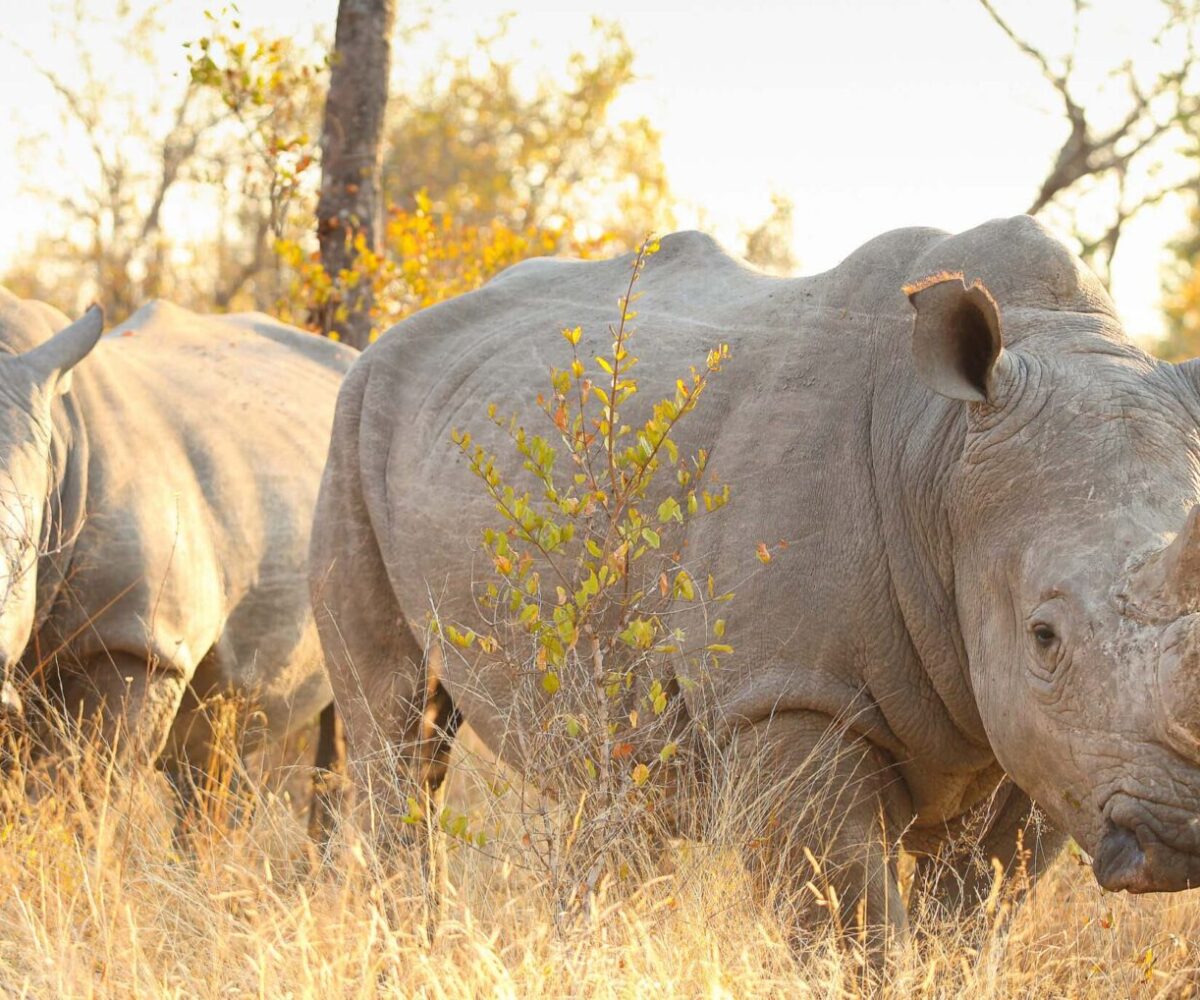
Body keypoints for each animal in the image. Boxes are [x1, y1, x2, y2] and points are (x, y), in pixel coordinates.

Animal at [310, 216, 1200, 936]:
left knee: (618, 782)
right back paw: (407, 937)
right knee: (394, 730)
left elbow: (971, 921)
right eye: (1044, 636)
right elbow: (851, 928)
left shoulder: (1055, 745)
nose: (1182, 832)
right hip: (352, 420)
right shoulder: (785, 692)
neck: (941, 457)